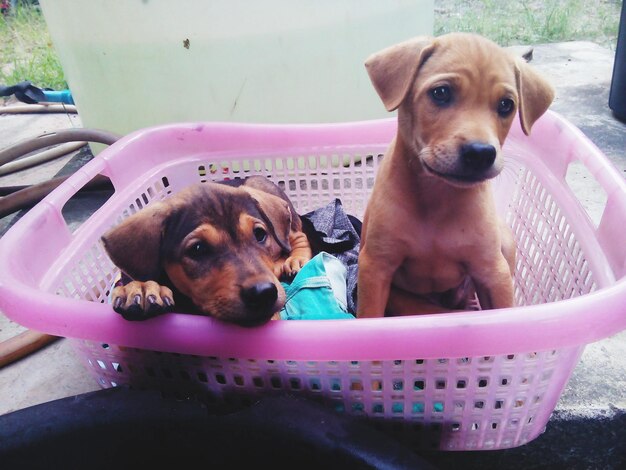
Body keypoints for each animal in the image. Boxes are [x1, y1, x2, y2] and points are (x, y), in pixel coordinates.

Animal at [102, 176, 312, 326]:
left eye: (260, 234)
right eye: (197, 249)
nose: (264, 293)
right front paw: (140, 288)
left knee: (297, 236)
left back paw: (295, 260)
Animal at [356, 33, 552, 318]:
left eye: (506, 105)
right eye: (441, 93)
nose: (481, 153)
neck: (437, 195)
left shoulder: (493, 272)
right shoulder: (376, 266)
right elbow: (369, 316)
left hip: (504, 245)